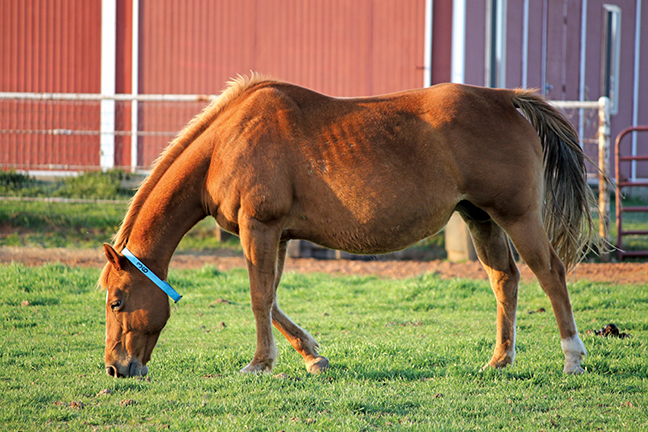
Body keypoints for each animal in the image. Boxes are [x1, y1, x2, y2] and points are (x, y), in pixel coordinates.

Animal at [98, 74, 600, 378]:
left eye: (118, 302)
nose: (115, 368)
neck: (226, 142)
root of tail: (505, 98)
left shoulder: (259, 228)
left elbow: (259, 299)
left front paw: (260, 364)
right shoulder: (278, 235)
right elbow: (273, 300)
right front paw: (312, 356)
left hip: (516, 216)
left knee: (550, 274)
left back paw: (573, 357)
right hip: (480, 219)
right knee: (505, 280)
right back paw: (499, 360)